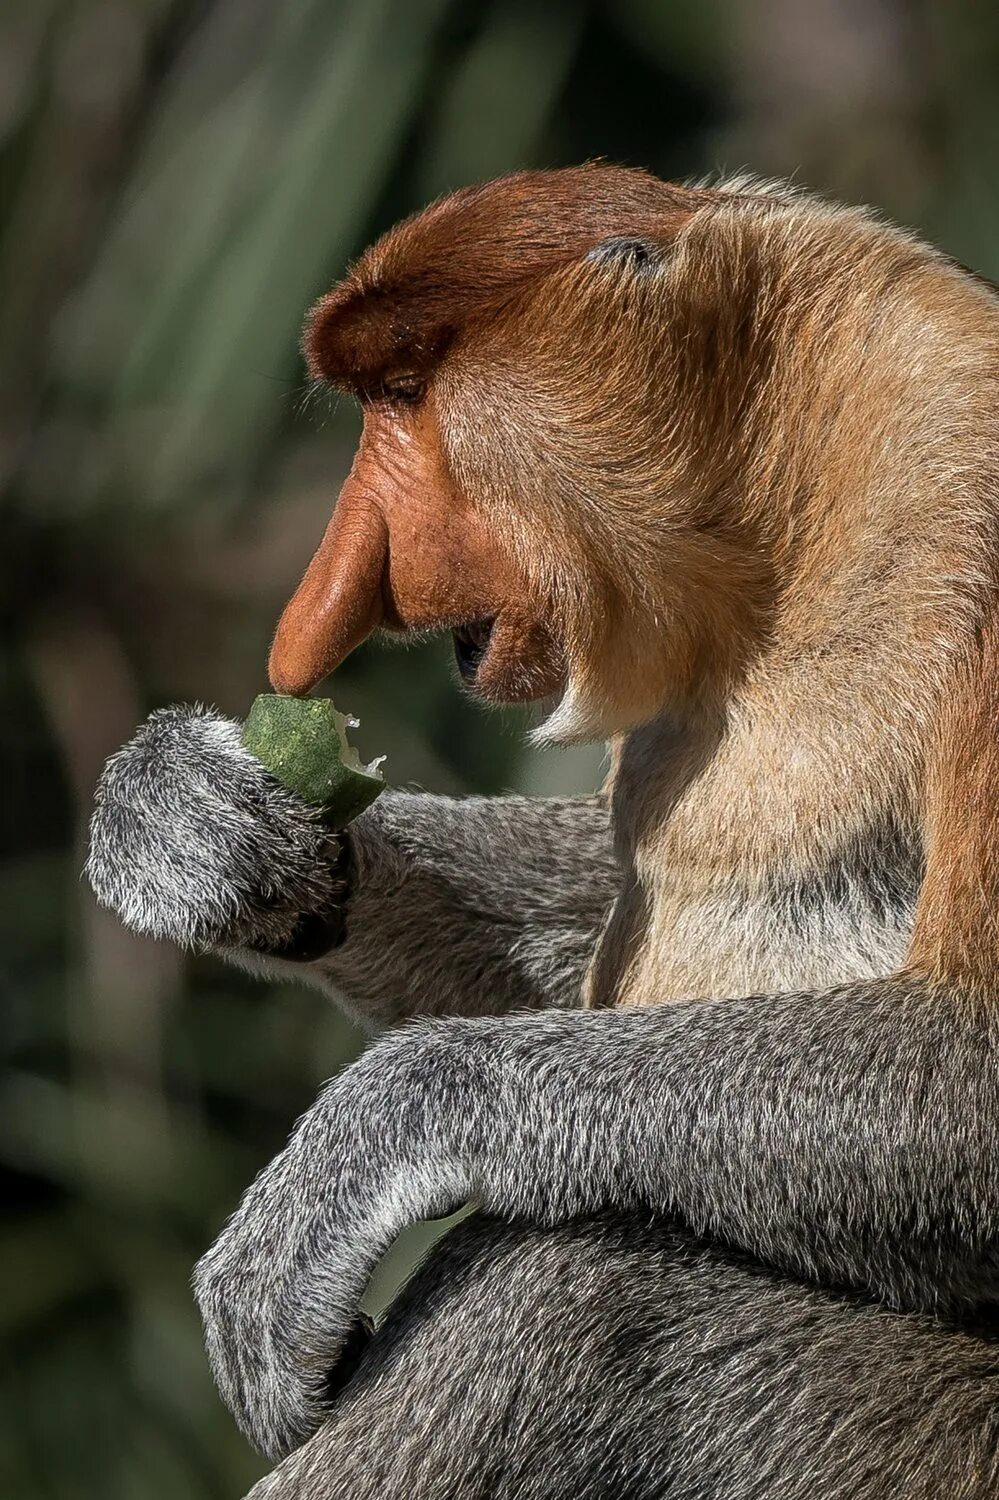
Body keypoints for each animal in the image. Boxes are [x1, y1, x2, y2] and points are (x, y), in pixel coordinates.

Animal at [85, 167, 996, 1500]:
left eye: (406, 396)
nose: (322, 613)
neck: (783, 530)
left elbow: (975, 1066)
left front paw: (361, 1150)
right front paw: (196, 827)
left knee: (575, 1289)